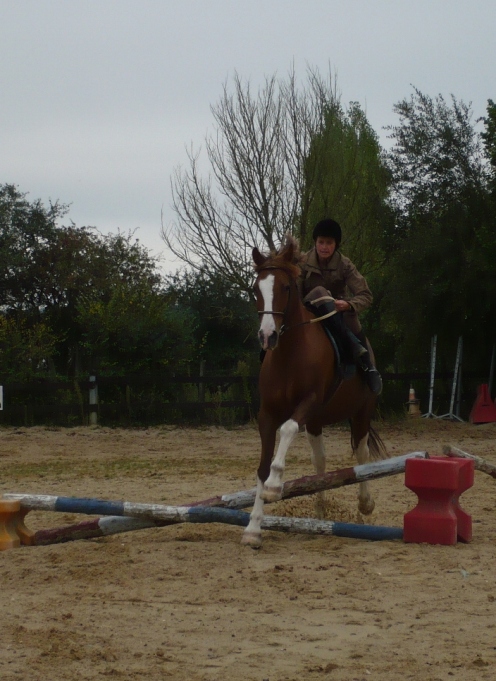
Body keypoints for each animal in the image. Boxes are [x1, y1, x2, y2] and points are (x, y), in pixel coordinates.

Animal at [242, 235, 386, 548]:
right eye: (256, 289)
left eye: (285, 287)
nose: (267, 336)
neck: (288, 354)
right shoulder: (267, 414)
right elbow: (262, 465)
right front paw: (253, 528)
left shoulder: (307, 403)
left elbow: (286, 430)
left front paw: (274, 486)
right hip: (317, 422)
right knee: (320, 461)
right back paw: (320, 513)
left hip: (361, 412)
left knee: (361, 454)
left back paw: (365, 504)